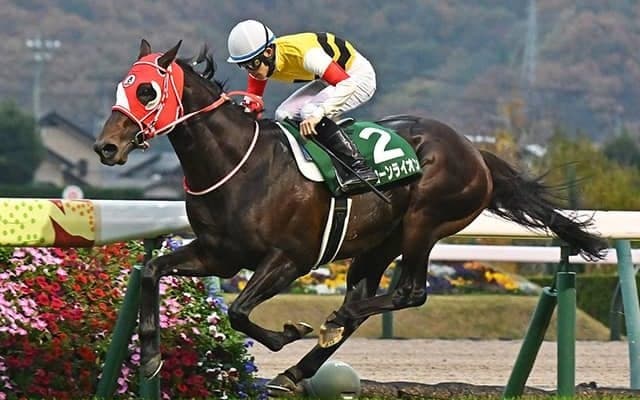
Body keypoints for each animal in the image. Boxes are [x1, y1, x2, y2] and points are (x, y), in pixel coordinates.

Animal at [94, 39, 607, 394]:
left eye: (147, 91)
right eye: (121, 88)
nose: (106, 147)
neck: (238, 163)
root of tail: (475, 152)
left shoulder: (290, 259)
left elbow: (239, 312)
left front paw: (289, 332)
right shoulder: (219, 255)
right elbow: (152, 271)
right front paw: (150, 357)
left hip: (425, 223)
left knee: (408, 293)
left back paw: (331, 322)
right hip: (378, 243)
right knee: (369, 298)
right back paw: (301, 365)